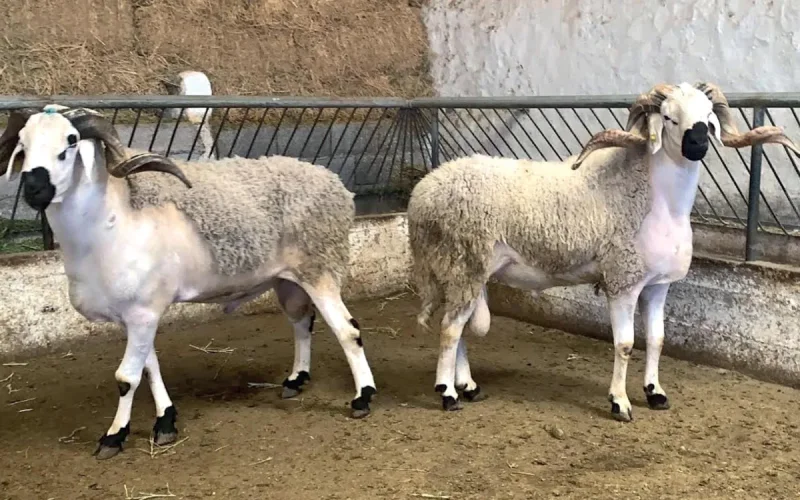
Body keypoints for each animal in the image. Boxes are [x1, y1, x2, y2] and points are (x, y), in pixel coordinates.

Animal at [0, 104, 377, 459]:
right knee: (302, 322)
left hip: (319, 267)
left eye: (71, 142)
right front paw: (165, 421)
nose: (34, 189)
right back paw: (296, 380)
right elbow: (149, 367)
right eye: (22, 145)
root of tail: (332, 181)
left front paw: (114, 436)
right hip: (288, 279)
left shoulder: (142, 312)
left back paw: (363, 397)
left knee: (348, 330)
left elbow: (126, 378)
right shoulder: (138, 314)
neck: (111, 219)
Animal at [406, 82, 800, 421]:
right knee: (450, 330)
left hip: (465, 271)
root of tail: (423, 191)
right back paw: (448, 394)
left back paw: (468, 386)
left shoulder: (658, 285)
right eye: (669, 117)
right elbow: (625, 344)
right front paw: (619, 402)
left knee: (457, 328)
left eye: (709, 116)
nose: (697, 143)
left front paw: (655, 393)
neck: (654, 198)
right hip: (462, 262)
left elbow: (657, 340)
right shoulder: (622, 280)